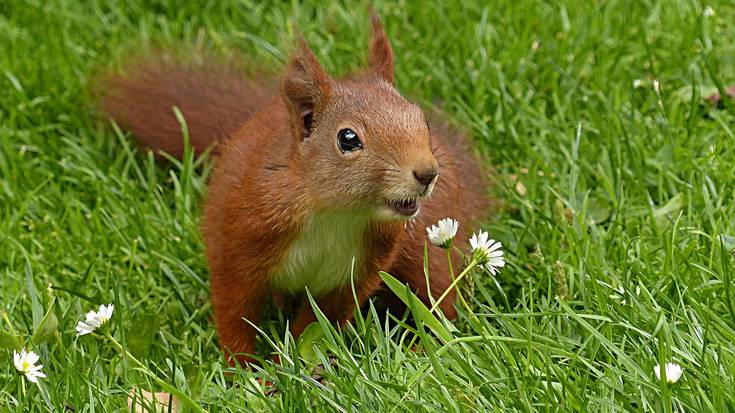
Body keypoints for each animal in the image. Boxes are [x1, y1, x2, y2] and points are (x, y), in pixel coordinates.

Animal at [96, 15, 488, 364]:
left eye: (421, 119)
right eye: (348, 139)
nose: (427, 172)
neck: (335, 213)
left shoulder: (359, 270)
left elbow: (317, 322)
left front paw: (289, 363)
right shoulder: (239, 237)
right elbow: (233, 307)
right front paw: (241, 371)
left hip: (426, 247)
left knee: (437, 296)